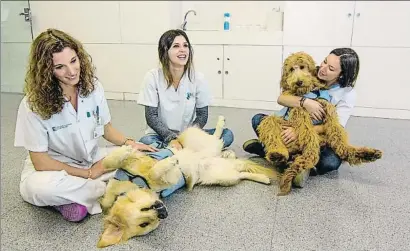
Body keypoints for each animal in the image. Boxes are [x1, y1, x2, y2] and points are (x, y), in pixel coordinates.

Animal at [258, 51, 382, 196]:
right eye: (291, 69)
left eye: (302, 67)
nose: (298, 82)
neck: (309, 93)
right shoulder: (300, 109)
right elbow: (308, 132)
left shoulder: (325, 106)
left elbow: (336, 130)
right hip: (274, 122)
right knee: (272, 127)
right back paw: (279, 155)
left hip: (321, 138)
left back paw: (365, 154)